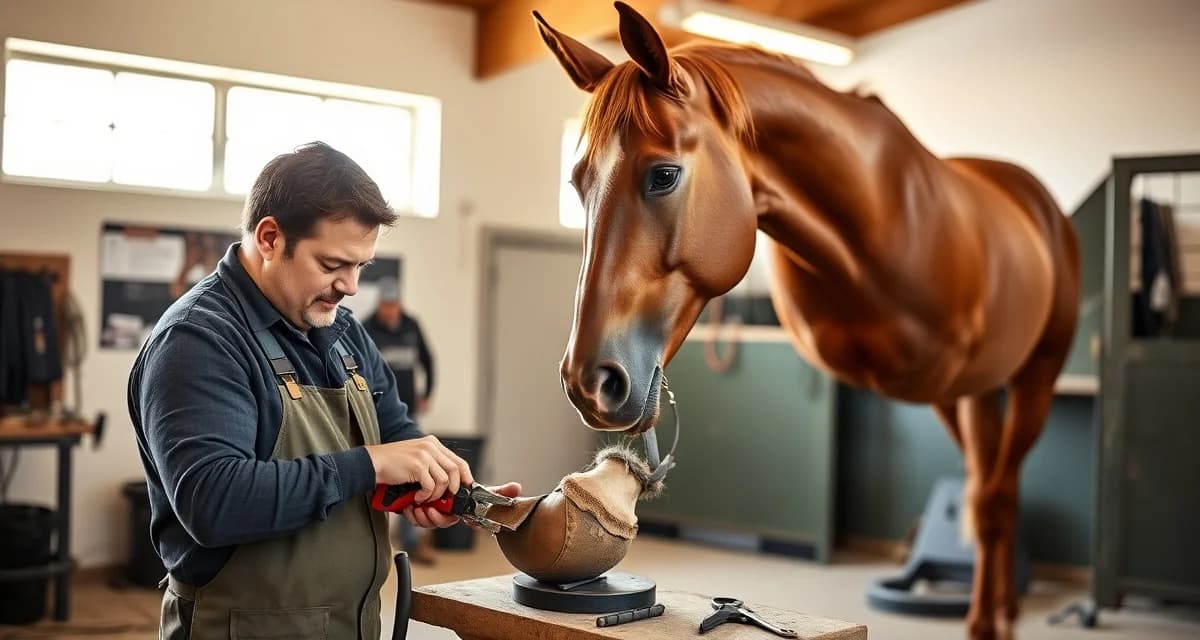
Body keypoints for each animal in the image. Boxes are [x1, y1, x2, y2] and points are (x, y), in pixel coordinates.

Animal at [538, 3, 1080, 639]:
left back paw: (992, 620)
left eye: (663, 175)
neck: (877, 212)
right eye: (577, 184)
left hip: (1034, 376)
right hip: (970, 394)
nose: (588, 382)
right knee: (994, 490)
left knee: (995, 500)